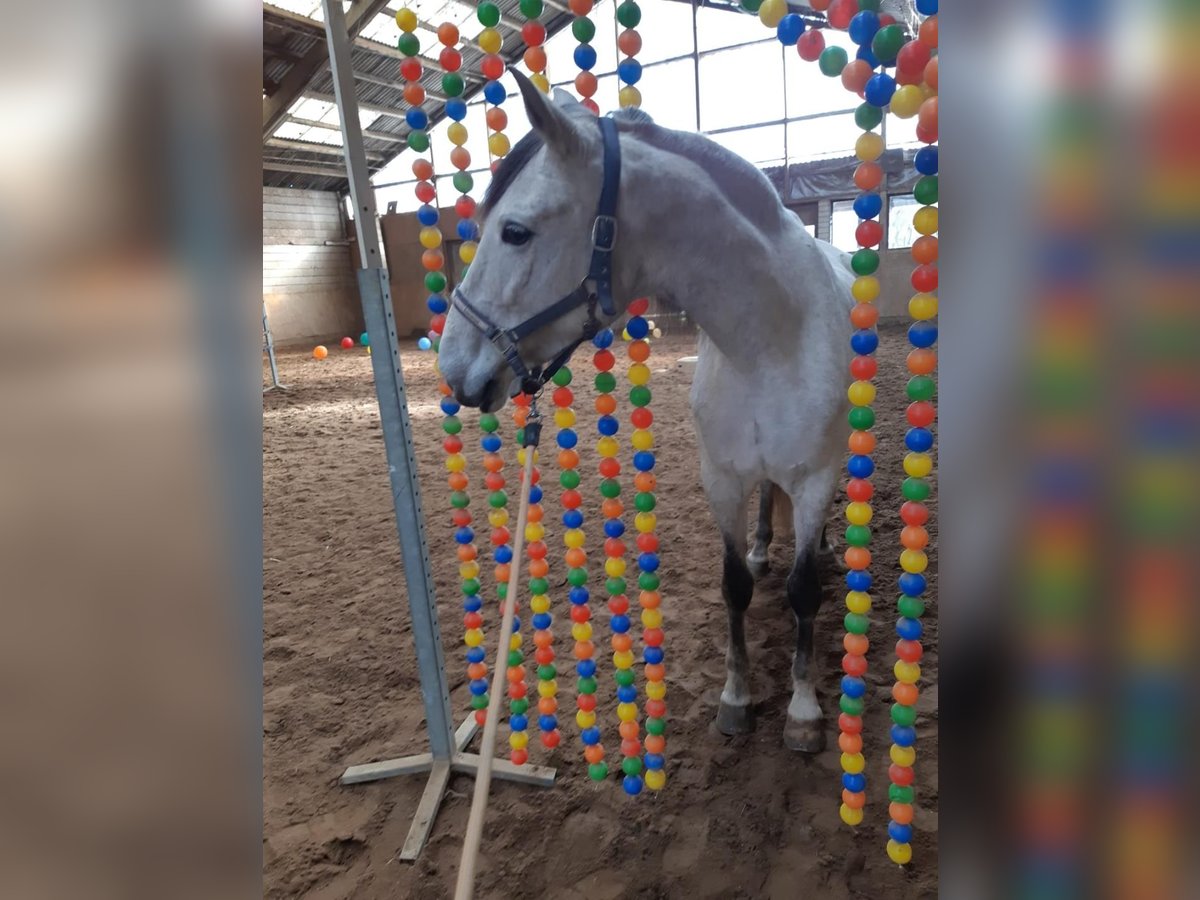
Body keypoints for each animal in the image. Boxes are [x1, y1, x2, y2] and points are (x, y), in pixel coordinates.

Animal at [441, 74, 854, 753]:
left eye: (516, 232)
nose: (452, 370)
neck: (771, 342)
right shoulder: (723, 479)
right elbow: (735, 586)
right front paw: (736, 699)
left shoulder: (815, 478)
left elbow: (803, 593)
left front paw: (802, 710)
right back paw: (765, 548)